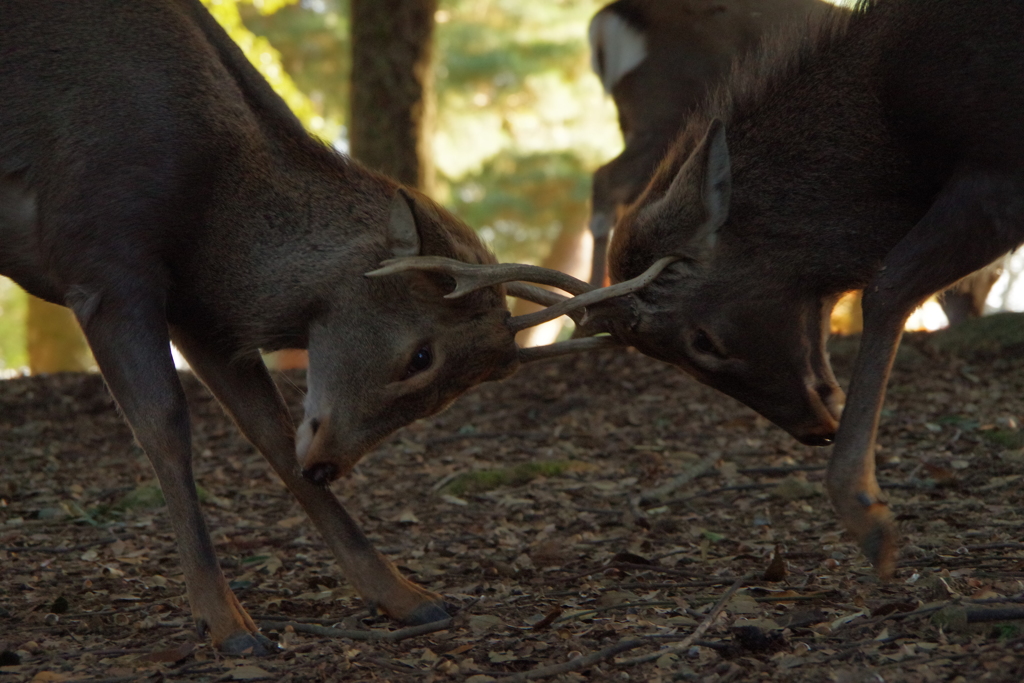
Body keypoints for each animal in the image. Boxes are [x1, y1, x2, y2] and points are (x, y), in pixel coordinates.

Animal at [0, 0, 667, 655]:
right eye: (420, 355)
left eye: (453, 396)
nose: (326, 465)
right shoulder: (102, 261)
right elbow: (165, 428)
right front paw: (228, 625)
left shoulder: (202, 314)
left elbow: (269, 430)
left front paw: (407, 596)